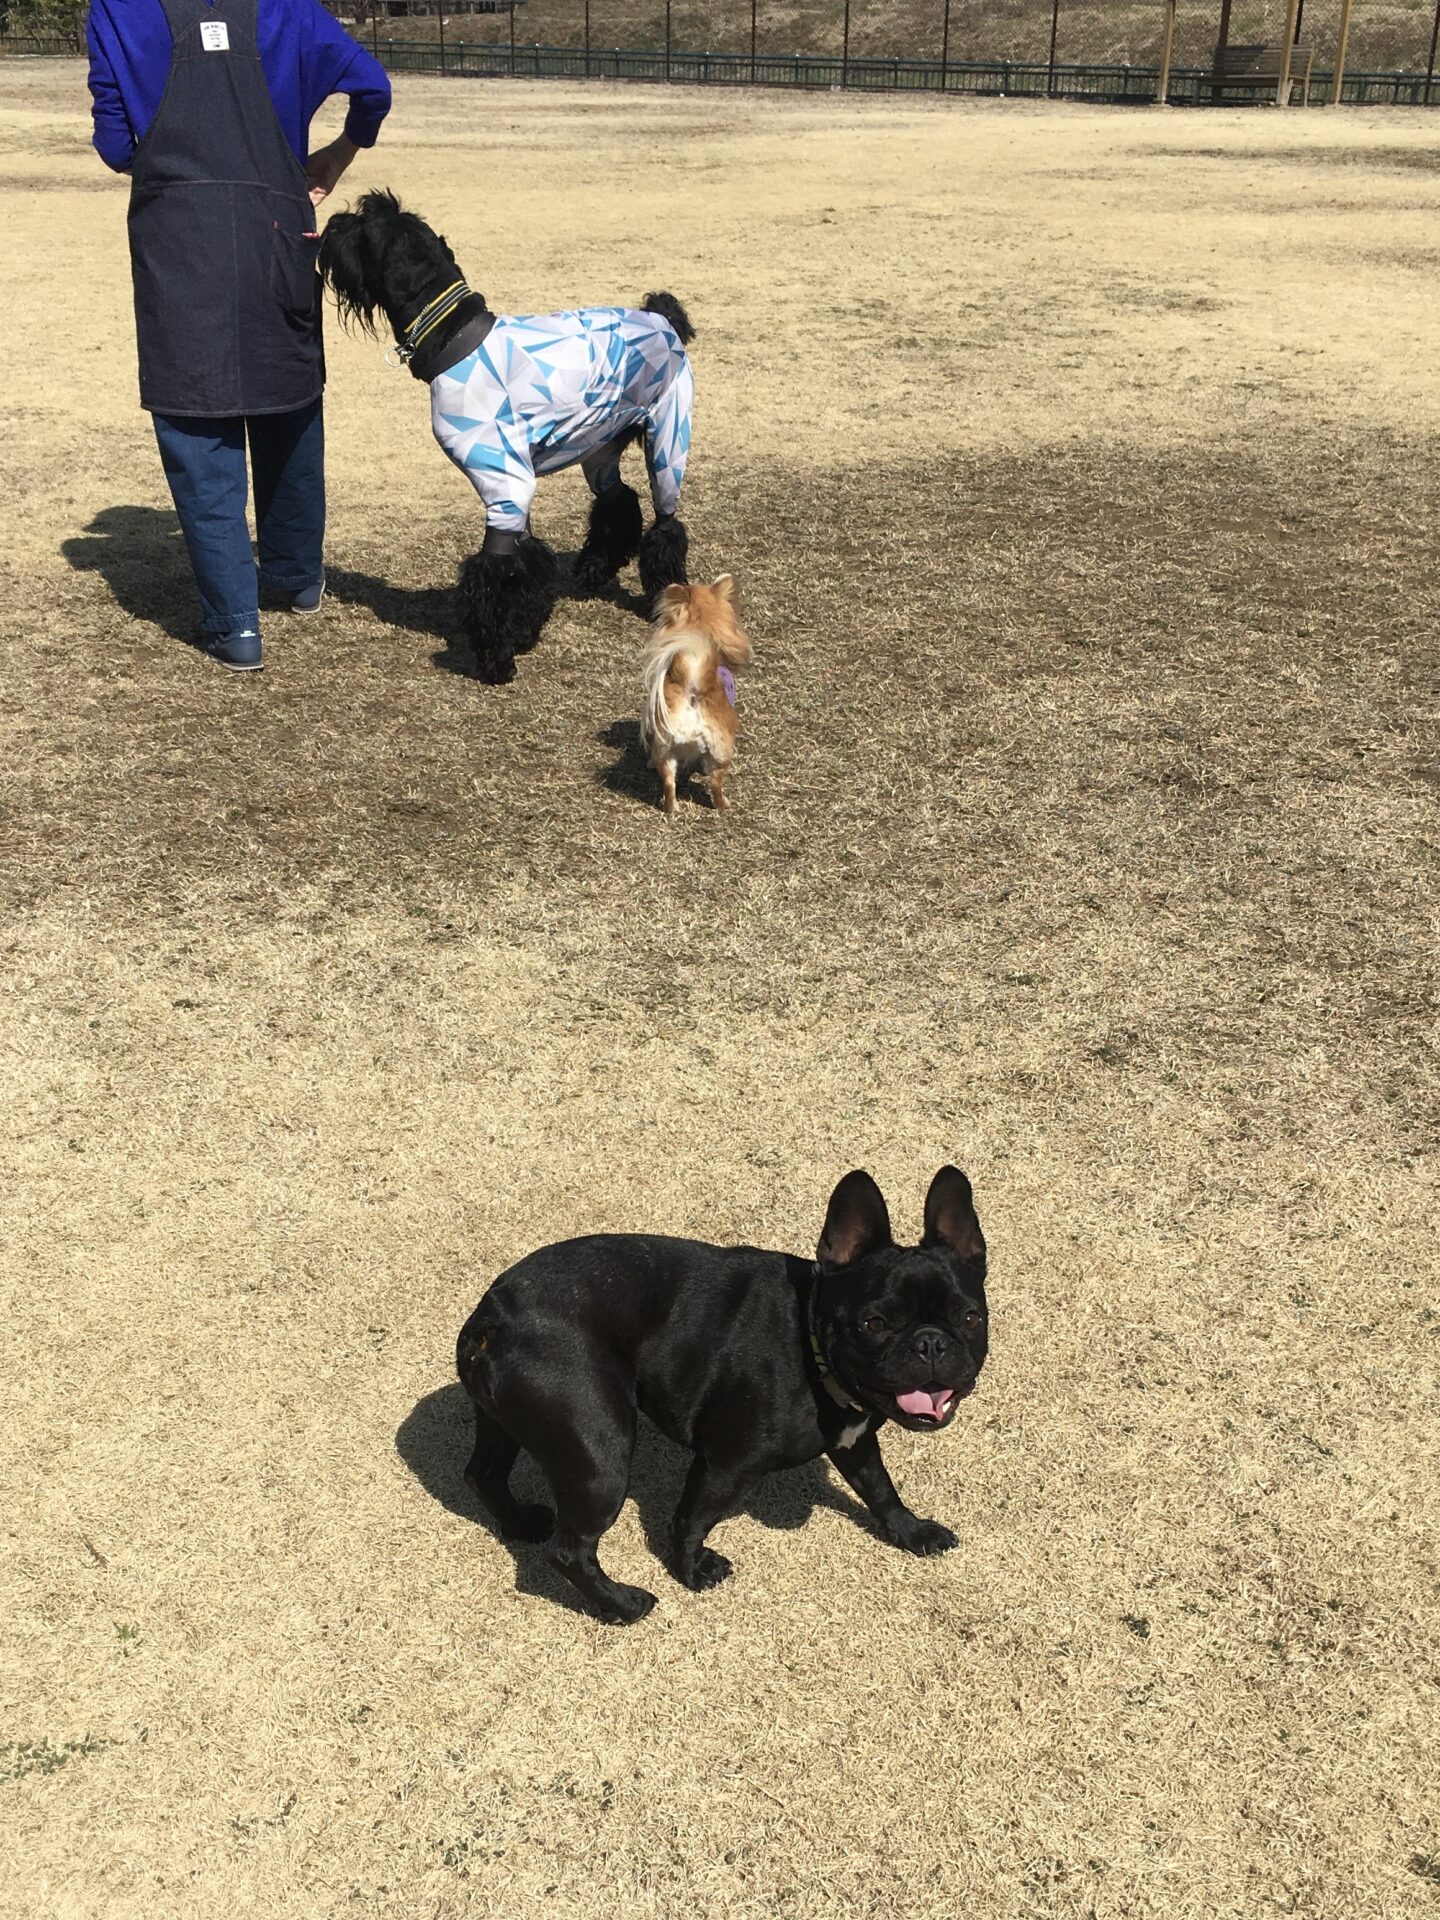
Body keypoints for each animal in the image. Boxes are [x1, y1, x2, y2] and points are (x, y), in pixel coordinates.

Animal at [317, 190, 695, 684]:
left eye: (364, 226)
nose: (330, 226)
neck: (453, 335)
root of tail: (662, 314)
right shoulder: (514, 489)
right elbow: (527, 564)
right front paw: (524, 630)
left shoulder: (505, 486)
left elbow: (495, 574)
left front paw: (496, 656)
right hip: (598, 447)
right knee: (619, 502)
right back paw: (593, 570)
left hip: (668, 441)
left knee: (665, 525)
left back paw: (663, 595)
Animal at [455, 1167, 988, 1623]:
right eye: (873, 1324)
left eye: (971, 1318)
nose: (930, 1343)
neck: (812, 1341)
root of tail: (494, 1317)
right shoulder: (726, 1464)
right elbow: (692, 1518)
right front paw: (692, 1572)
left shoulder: (853, 1441)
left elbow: (880, 1488)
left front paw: (911, 1532)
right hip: (599, 1451)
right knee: (572, 1550)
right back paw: (624, 1606)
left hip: (507, 1421)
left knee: (484, 1474)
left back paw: (521, 1525)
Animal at [640, 575, 752, 817]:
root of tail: (692, 687)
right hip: (722, 751)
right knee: (715, 783)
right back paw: (723, 805)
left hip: (666, 749)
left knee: (669, 783)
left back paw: (670, 808)